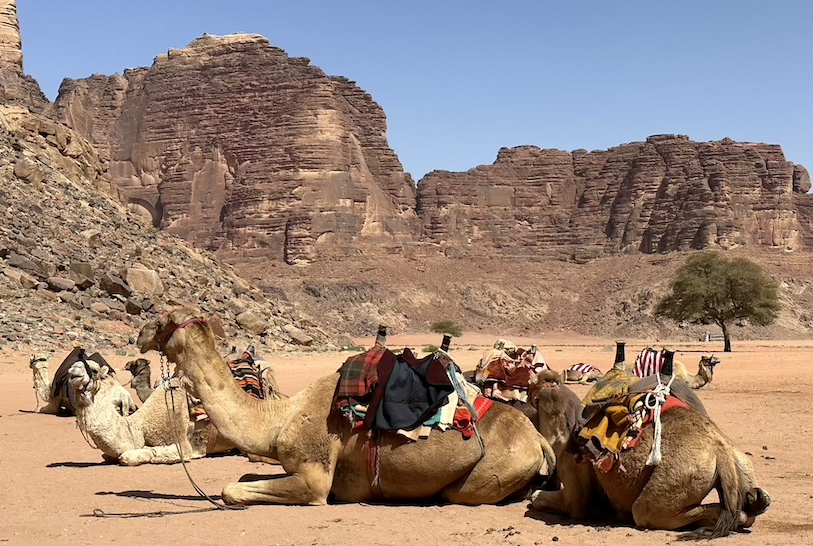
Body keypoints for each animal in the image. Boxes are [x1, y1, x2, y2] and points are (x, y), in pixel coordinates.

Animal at [136, 306, 556, 506]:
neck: (279, 419)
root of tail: (537, 438)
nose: (138, 335)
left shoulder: (315, 476)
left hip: (492, 470)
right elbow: (243, 476)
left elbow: (231, 489)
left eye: (162, 319)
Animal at [528, 366, 768, 536]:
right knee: (745, 512)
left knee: (648, 512)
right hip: (740, 463)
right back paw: (756, 501)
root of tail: (721, 452)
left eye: (531, 393)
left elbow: (543, 498)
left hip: (666, 489)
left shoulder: (575, 490)